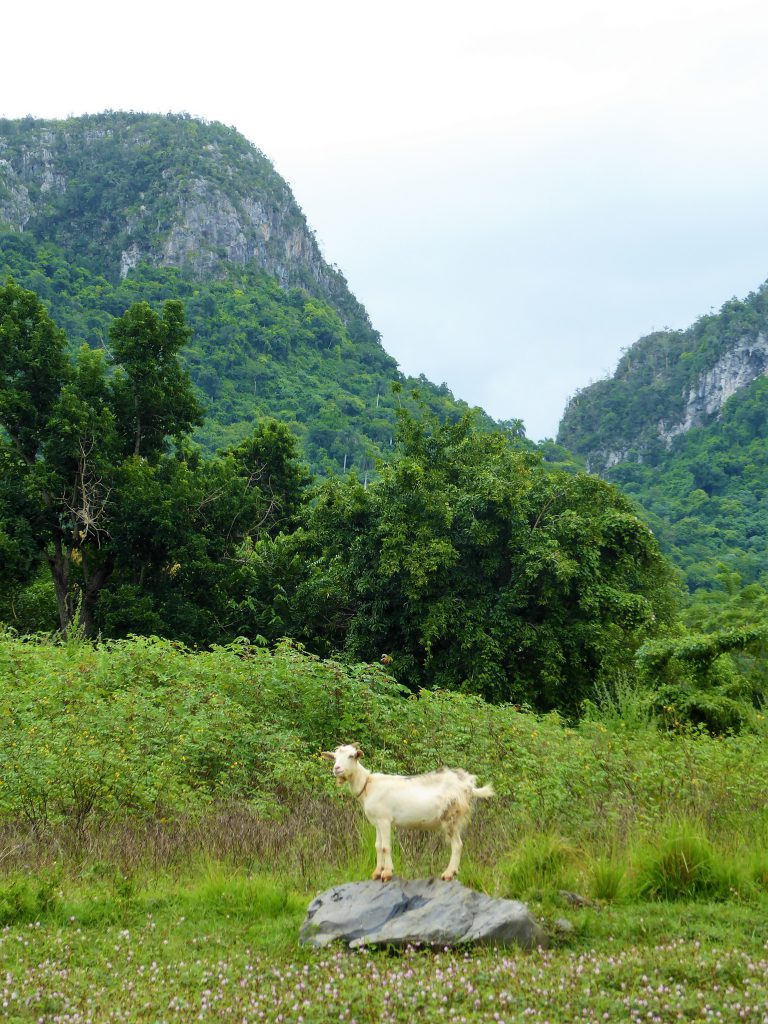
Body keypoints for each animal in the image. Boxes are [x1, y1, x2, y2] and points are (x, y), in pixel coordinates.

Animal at [323, 745, 493, 880]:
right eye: (334, 757)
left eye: (352, 756)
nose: (336, 769)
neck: (367, 785)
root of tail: (469, 785)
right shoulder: (377, 821)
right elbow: (378, 846)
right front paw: (377, 873)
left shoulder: (385, 820)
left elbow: (386, 847)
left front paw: (387, 873)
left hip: (451, 816)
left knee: (457, 845)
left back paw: (448, 874)